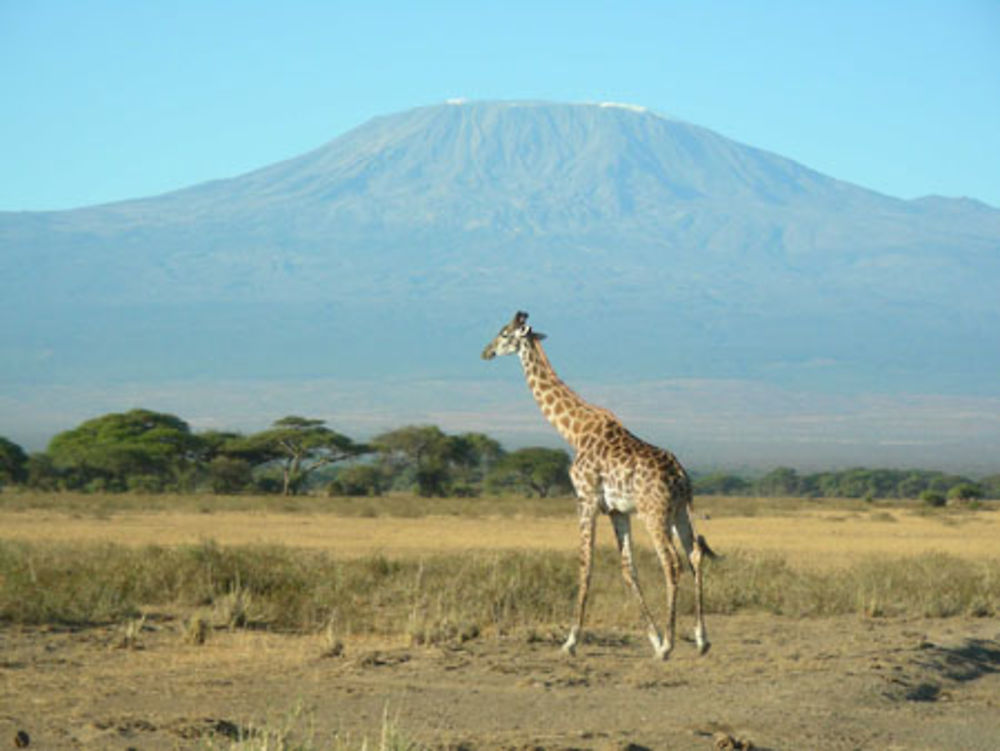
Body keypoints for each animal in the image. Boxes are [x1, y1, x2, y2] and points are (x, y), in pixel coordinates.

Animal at [482, 310, 712, 656]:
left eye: (506, 333)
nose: (487, 352)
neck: (575, 431)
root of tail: (680, 477)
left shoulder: (586, 499)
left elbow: (585, 564)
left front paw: (570, 641)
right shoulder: (617, 511)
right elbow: (628, 569)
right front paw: (653, 636)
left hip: (654, 513)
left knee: (671, 563)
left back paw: (669, 647)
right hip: (680, 511)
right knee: (695, 555)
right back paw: (701, 640)